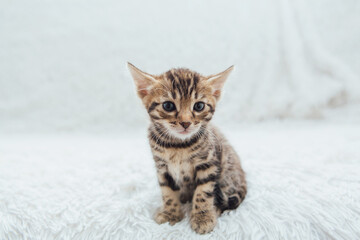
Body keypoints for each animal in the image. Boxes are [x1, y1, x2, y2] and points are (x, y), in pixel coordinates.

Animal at [128, 62, 246, 233]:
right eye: (168, 105)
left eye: (199, 106)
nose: (185, 122)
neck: (178, 145)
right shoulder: (162, 167)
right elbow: (168, 192)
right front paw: (170, 213)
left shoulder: (208, 164)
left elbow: (203, 192)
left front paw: (203, 217)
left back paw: (214, 209)